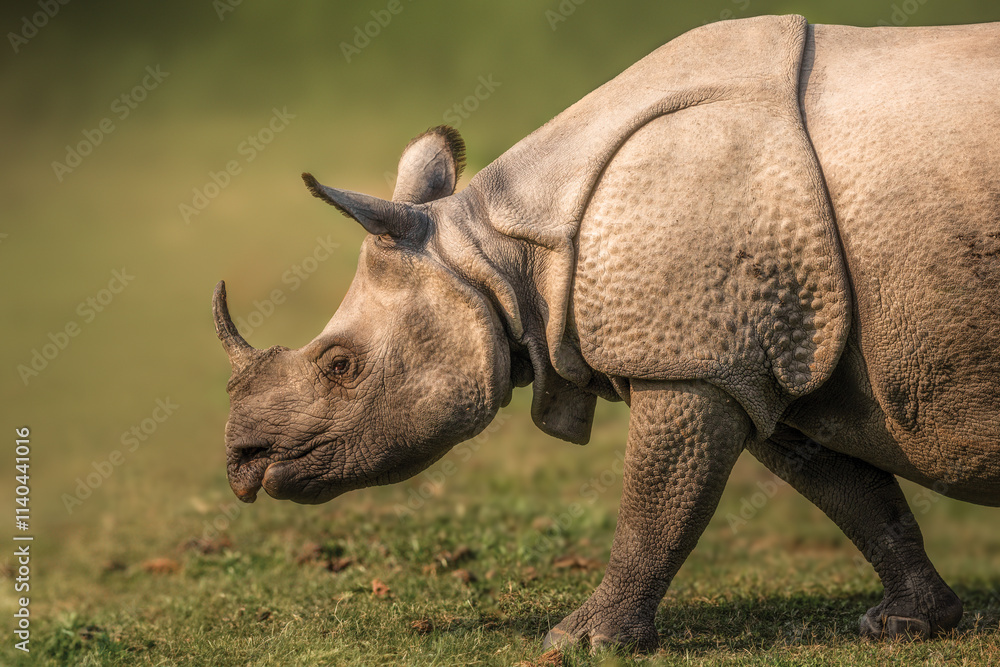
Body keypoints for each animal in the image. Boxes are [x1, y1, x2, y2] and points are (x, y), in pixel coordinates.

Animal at [214, 14, 1000, 651]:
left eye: (339, 365)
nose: (241, 463)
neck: (501, 256)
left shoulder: (690, 362)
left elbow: (656, 502)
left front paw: (581, 641)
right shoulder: (756, 354)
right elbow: (855, 494)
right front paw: (908, 623)